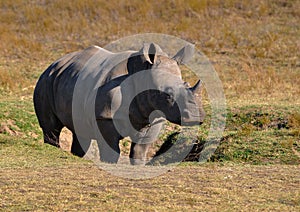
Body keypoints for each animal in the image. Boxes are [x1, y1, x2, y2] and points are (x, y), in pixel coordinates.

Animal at [33, 42, 206, 165]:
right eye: (166, 94)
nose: (195, 117)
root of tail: (54, 63)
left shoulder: (155, 117)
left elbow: (140, 149)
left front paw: (138, 165)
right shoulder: (105, 116)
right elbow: (111, 149)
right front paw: (109, 164)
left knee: (80, 132)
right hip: (45, 82)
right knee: (51, 128)